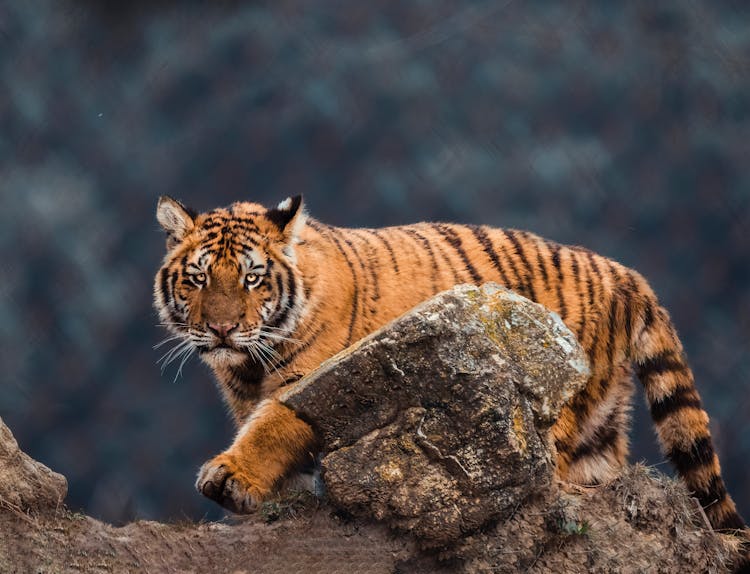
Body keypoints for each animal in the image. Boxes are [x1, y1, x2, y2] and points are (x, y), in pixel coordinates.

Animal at [153, 196, 748, 536]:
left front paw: (231, 477)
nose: (222, 329)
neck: (246, 365)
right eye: (199, 278)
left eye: (252, 278)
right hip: (598, 431)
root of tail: (627, 276)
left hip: (557, 410)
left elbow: (272, 427)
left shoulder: (308, 382)